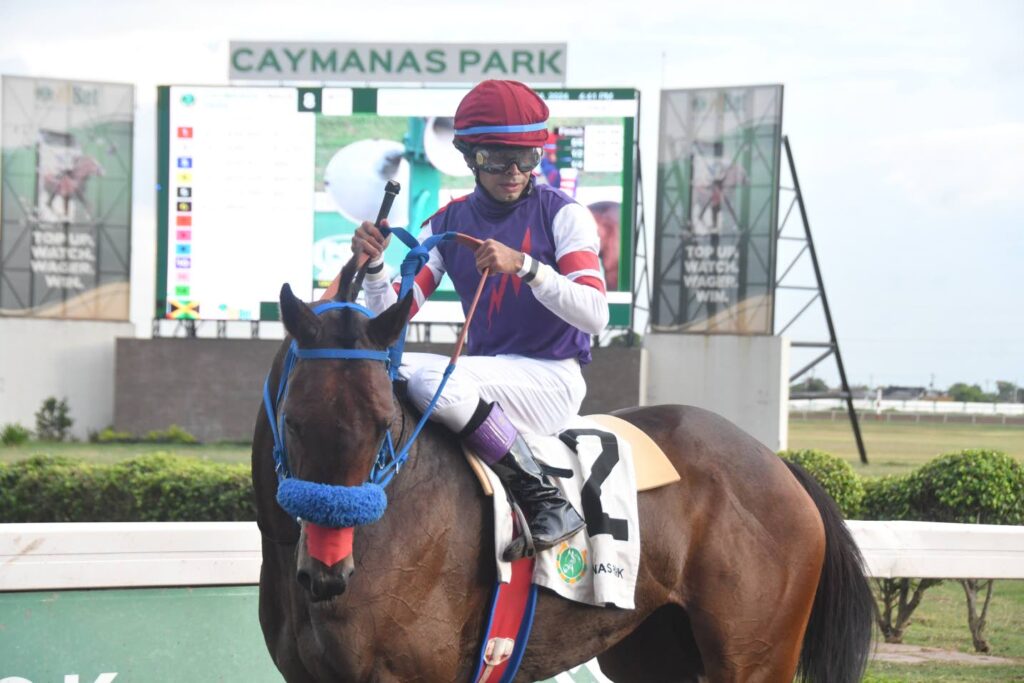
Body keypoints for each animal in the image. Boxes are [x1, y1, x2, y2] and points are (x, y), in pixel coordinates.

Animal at [252, 261, 874, 682]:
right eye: (294, 420)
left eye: (385, 422)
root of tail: (778, 463)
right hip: (654, 649)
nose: (329, 572)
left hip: (754, 658)